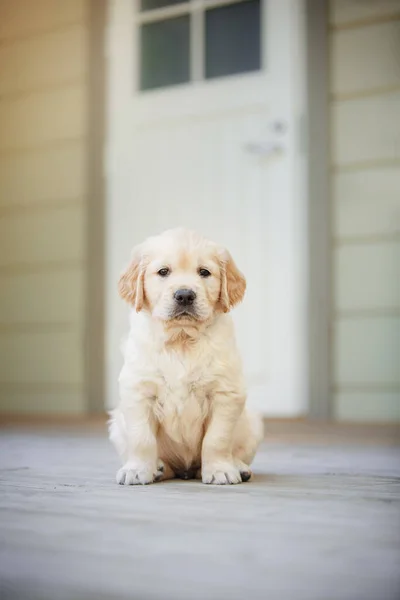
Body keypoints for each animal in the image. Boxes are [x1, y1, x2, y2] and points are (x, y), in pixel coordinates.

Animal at [109, 227, 264, 486]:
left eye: (204, 272)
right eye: (163, 272)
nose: (184, 295)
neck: (181, 340)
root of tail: (185, 470)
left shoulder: (225, 392)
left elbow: (217, 439)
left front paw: (220, 470)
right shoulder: (138, 390)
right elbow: (141, 439)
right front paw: (137, 469)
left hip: (251, 424)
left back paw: (238, 467)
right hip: (117, 425)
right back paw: (158, 467)